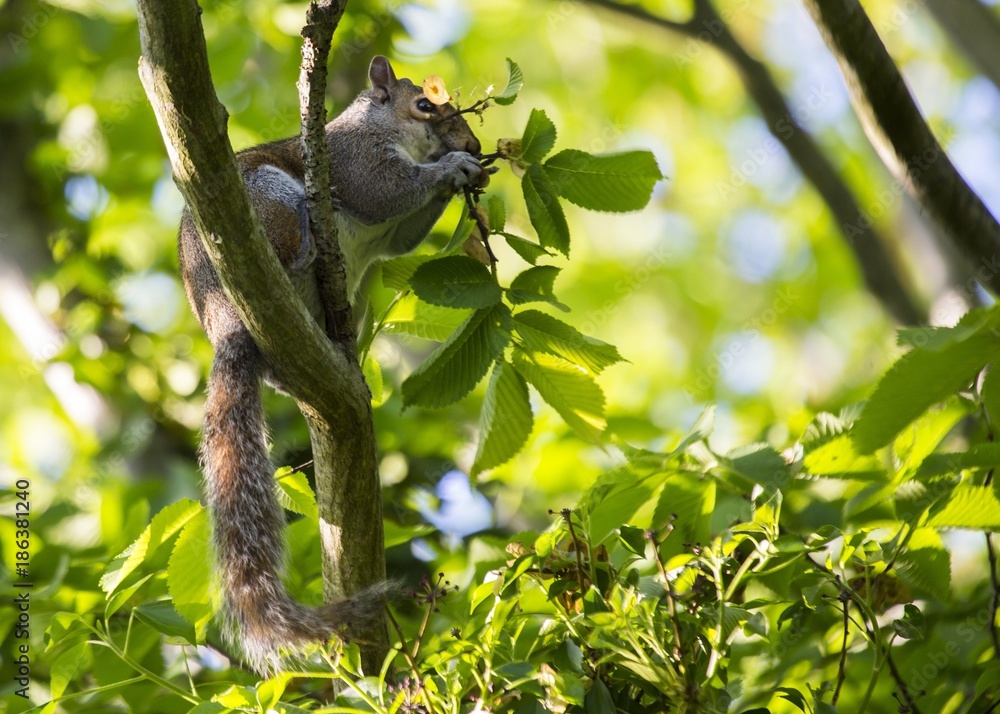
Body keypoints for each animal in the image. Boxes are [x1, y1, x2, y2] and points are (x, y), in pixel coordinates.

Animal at [177, 55, 483, 673]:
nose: (476, 145)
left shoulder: (394, 235)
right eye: (425, 105)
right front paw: (453, 168)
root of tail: (225, 320)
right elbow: (383, 191)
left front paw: (464, 172)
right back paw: (307, 245)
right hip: (266, 201)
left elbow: (401, 233)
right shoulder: (352, 160)